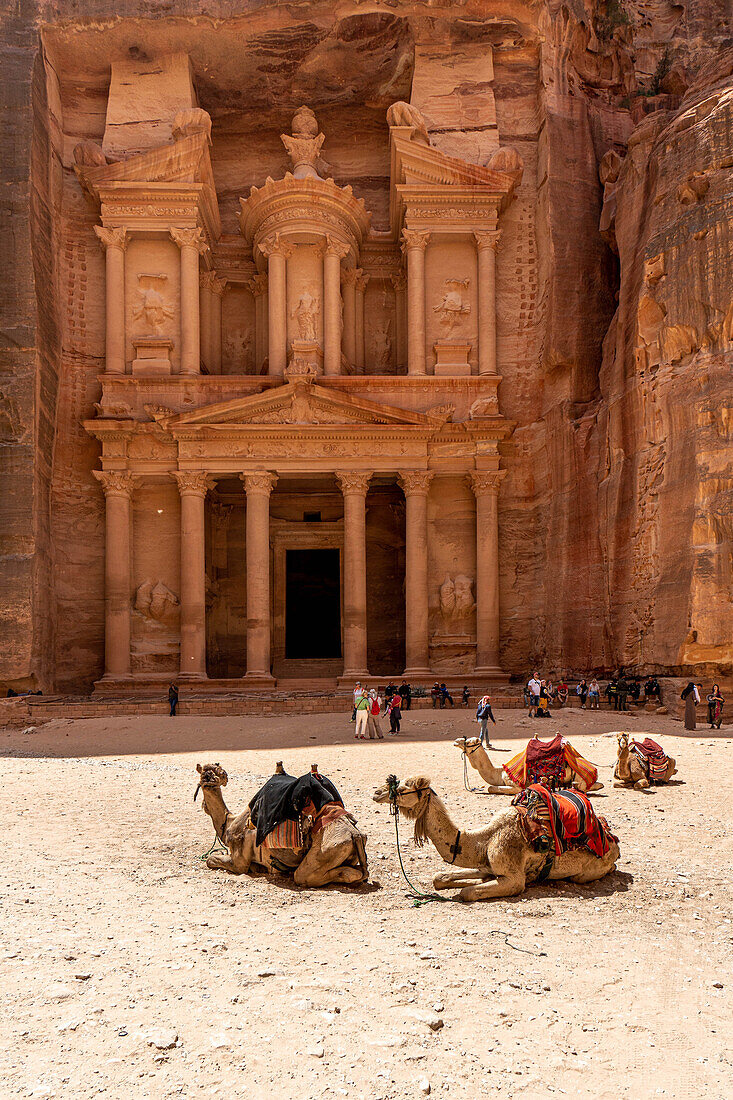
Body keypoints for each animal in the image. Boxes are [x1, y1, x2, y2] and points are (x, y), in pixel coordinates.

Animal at [193, 761, 367, 888]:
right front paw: (259, 867)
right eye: (206, 775)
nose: (213, 780)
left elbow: (211, 860)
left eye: (213, 774)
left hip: (327, 850)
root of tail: (355, 834)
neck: (228, 823)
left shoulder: (239, 861)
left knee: (305, 875)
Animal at [372, 774, 616, 902]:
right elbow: (439, 877)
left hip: (585, 873)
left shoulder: (513, 878)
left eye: (403, 787)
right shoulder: (484, 864)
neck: (484, 840)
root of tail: (612, 841)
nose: (376, 792)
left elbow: (467, 892)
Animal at [453, 734, 603, 796]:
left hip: (579, 777)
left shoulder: (516, 785)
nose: (455, 741)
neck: (500, 772)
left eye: (468, 742)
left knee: (583, 786)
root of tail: (593, 769)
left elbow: (491, 788)